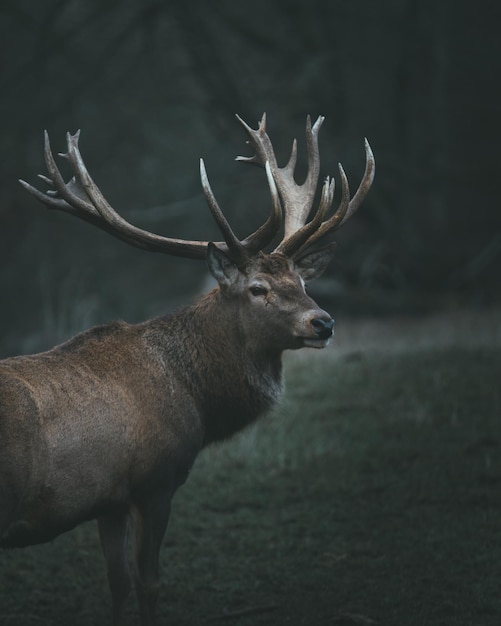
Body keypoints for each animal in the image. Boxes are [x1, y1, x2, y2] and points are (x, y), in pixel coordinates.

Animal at [1, 113, 374, 624]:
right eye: (257, 288)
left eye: (301, 281)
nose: (324, 322)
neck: (196, 398)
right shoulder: (156, 481)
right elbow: (149, 583)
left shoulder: (108, 501)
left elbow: (117, 585)